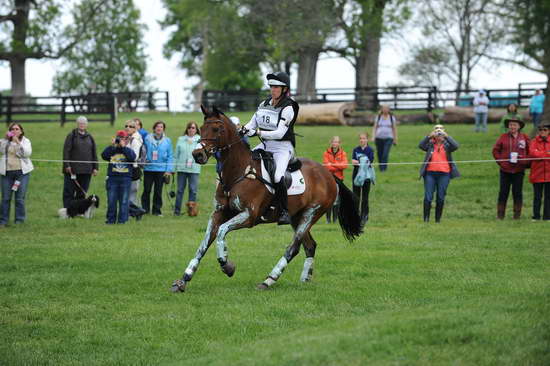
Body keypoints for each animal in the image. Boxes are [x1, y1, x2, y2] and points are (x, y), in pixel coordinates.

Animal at [170, 105, 364, 292]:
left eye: (217, 129)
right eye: (201, 128)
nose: (197, 154)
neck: (238, 172)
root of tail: (329, 175)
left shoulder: (249, 216)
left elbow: (222, 232)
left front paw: (227, 265)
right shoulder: (218, 213)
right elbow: (204, 244)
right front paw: (183, 280)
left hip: (310, 214)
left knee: (293, 248)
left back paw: (269, 280)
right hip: (297, 216)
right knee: (310, 246)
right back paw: (304, 280)